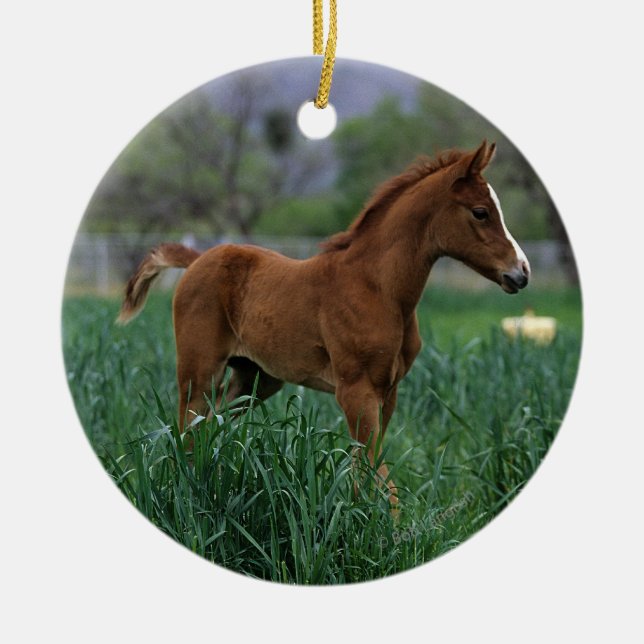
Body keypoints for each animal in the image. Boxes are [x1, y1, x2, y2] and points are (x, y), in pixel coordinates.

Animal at [117, 141, 530, 505]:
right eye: (480, 212)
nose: (521, 273)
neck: (378, 288)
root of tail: (198, 260)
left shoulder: (388, 392)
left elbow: (369, 468)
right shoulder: (355, 389)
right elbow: (375, 470)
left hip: (255, 378)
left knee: (210, 427)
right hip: (198, 371)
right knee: (186, 430)